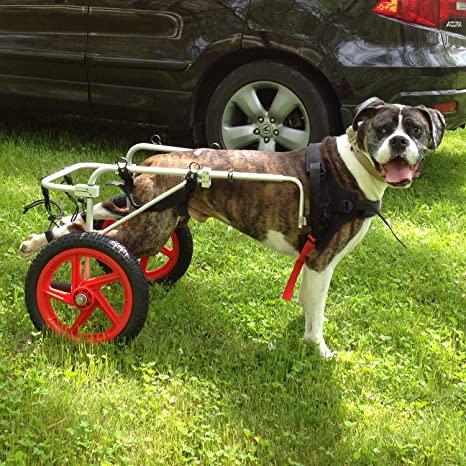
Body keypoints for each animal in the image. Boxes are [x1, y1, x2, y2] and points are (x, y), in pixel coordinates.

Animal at [20, 97, 446, 356]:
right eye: (383, 128)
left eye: (416, 131)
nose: (400, 142)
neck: (350, 167)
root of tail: (151, 161)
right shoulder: (322, 259)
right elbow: (318, 313)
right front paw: (318, 348)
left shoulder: (313, 264)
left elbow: (310, 301)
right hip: (147, 230)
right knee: (94, 240)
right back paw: (69, 282)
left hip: (154, 216)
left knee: (86, 220)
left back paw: (35, 243)